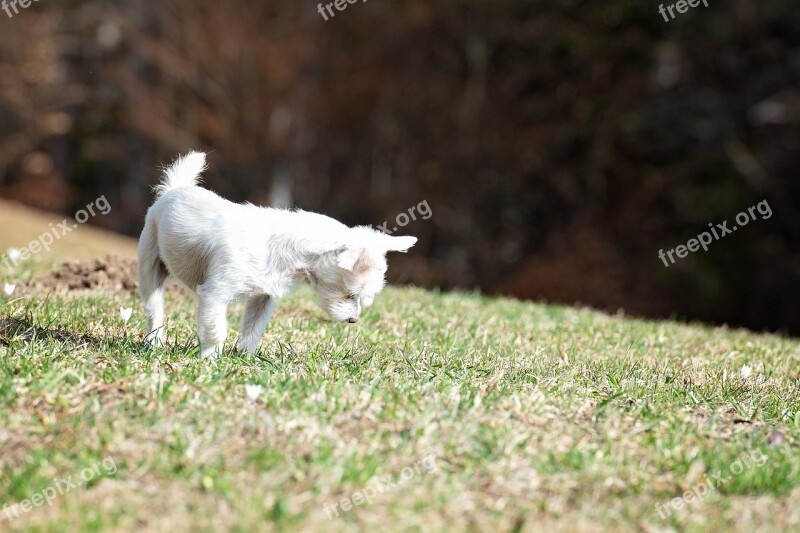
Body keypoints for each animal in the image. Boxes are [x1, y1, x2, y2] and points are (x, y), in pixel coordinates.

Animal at [137, 150, 416, 358]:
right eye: (351, 294)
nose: (354, 320)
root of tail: (173, 190)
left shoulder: (262, 297)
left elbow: (252, 330)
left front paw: (244, 359)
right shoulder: (215, 294)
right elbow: (217, 329)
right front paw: (210, 359)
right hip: (150, 267)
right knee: (155, 309)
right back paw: (155, 342)